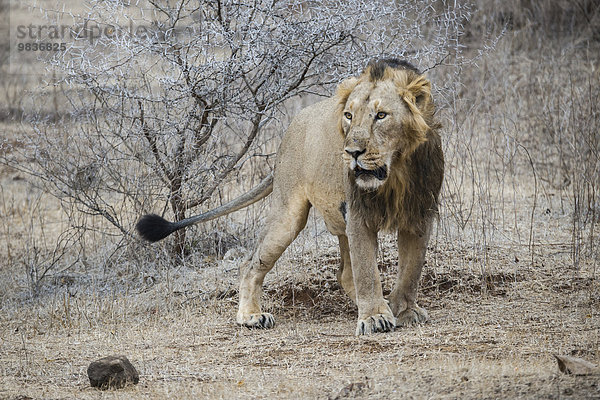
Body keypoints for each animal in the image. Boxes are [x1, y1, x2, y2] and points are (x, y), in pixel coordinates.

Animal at [138, 58, 442, 334]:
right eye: (348, 116)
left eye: (381, 116)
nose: (352, 152)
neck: (397, 171)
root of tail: (291, 128)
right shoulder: (359, 214)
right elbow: (367, 272)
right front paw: (375, 317)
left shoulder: (421, 213)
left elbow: (411, 269)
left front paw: (404, 310)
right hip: (288, 216)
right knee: (250, 264)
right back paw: (251, 316)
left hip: (337, 216)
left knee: (345, 273)